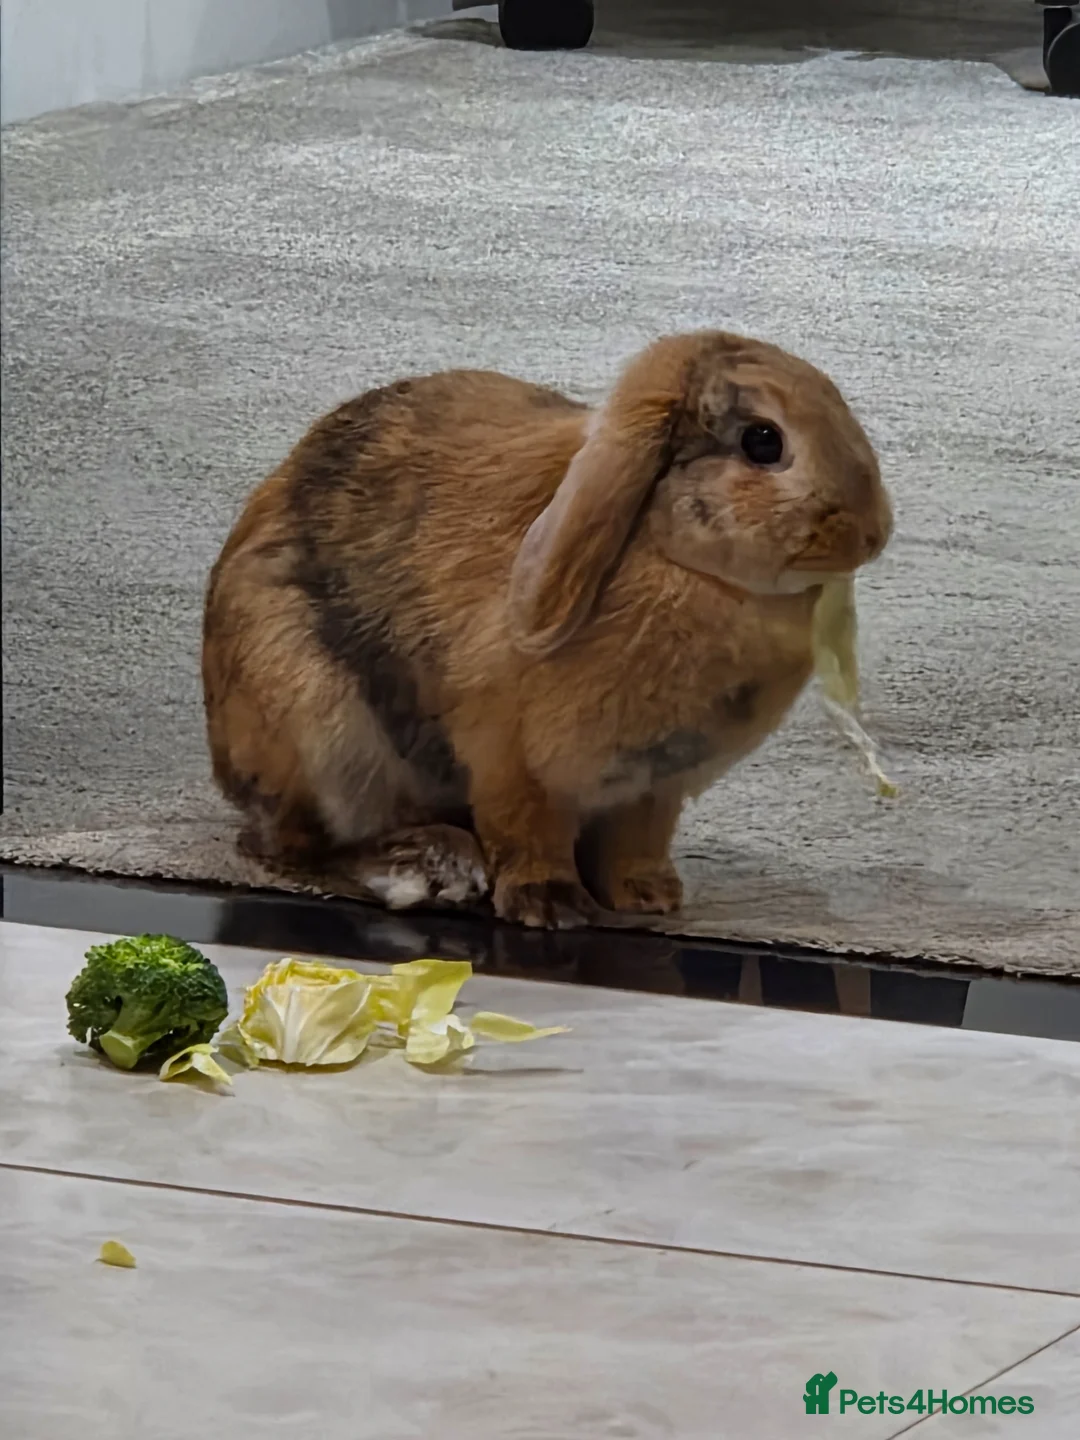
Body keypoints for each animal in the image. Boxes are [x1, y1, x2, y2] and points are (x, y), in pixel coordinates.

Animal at [202, 330, 891, 929]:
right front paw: (551, 907)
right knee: (293, 848)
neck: (676, 562)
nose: (874, 533)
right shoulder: (515, 764)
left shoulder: (651, 789)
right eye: (763, 441)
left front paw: (651, 897)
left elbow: (635, 844)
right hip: (323, 736)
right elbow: (528, 832)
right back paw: (430, 868)